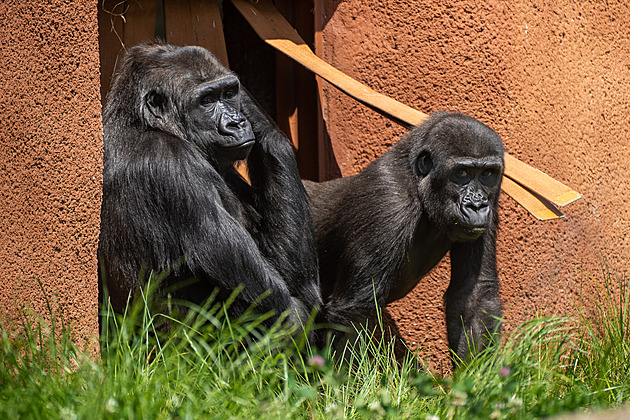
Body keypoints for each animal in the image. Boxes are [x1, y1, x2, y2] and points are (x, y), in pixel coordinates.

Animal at [100, 43, 324, 332]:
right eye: (206, 101)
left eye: (228, 93)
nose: (237, 122)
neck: (142, 123)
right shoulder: (173, 164)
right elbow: (276, 300)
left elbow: (289, 270)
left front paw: (254, 112)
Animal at [304, 112, 506, 364]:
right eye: (461, 173)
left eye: (487, 174)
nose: (477, 205)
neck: (417, 181)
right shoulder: (388, 199)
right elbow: (353, 310)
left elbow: (473, 294)